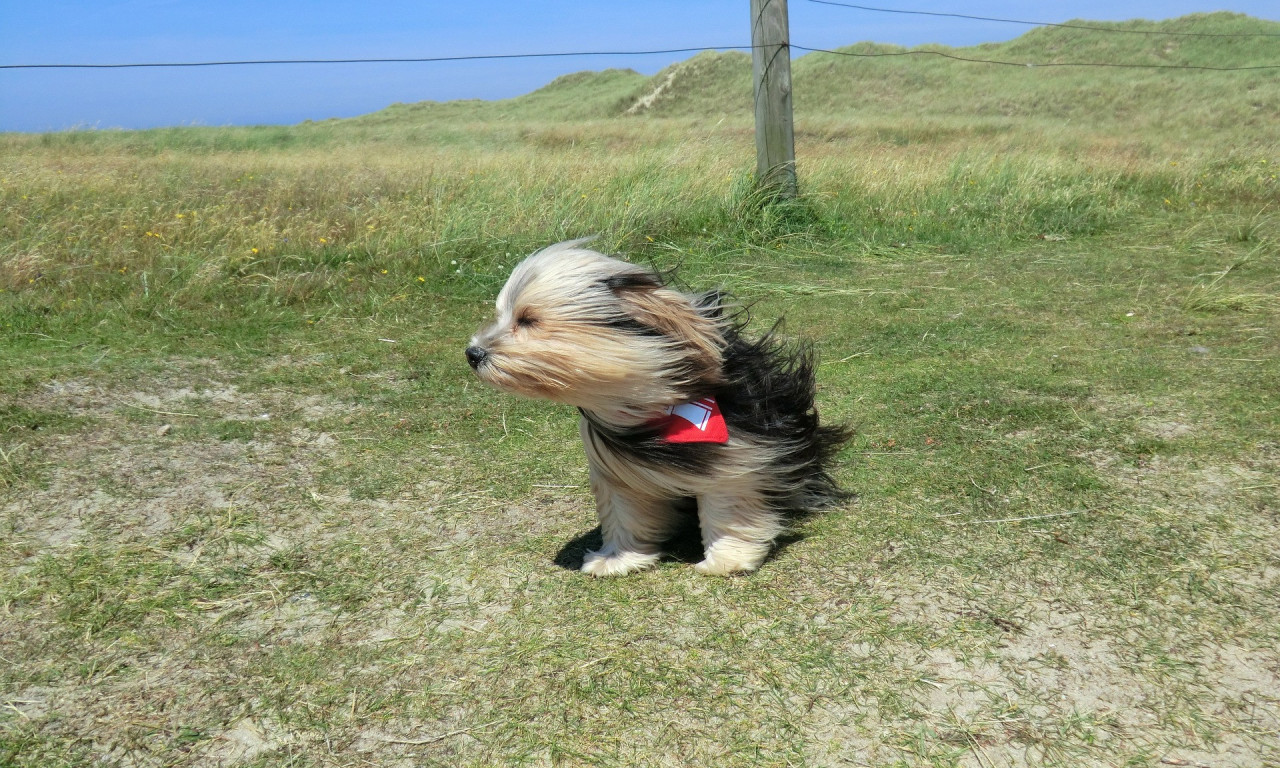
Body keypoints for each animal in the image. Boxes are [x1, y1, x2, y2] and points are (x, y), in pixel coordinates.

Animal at [465, 240, 844, 576]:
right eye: (502, 316)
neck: (649, 401)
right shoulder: (616, 470)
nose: (473, 353)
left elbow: (728, 504)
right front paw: (618, 558)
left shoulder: (740, 454)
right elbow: (624, 512)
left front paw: (727, 559)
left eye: (528, 319)